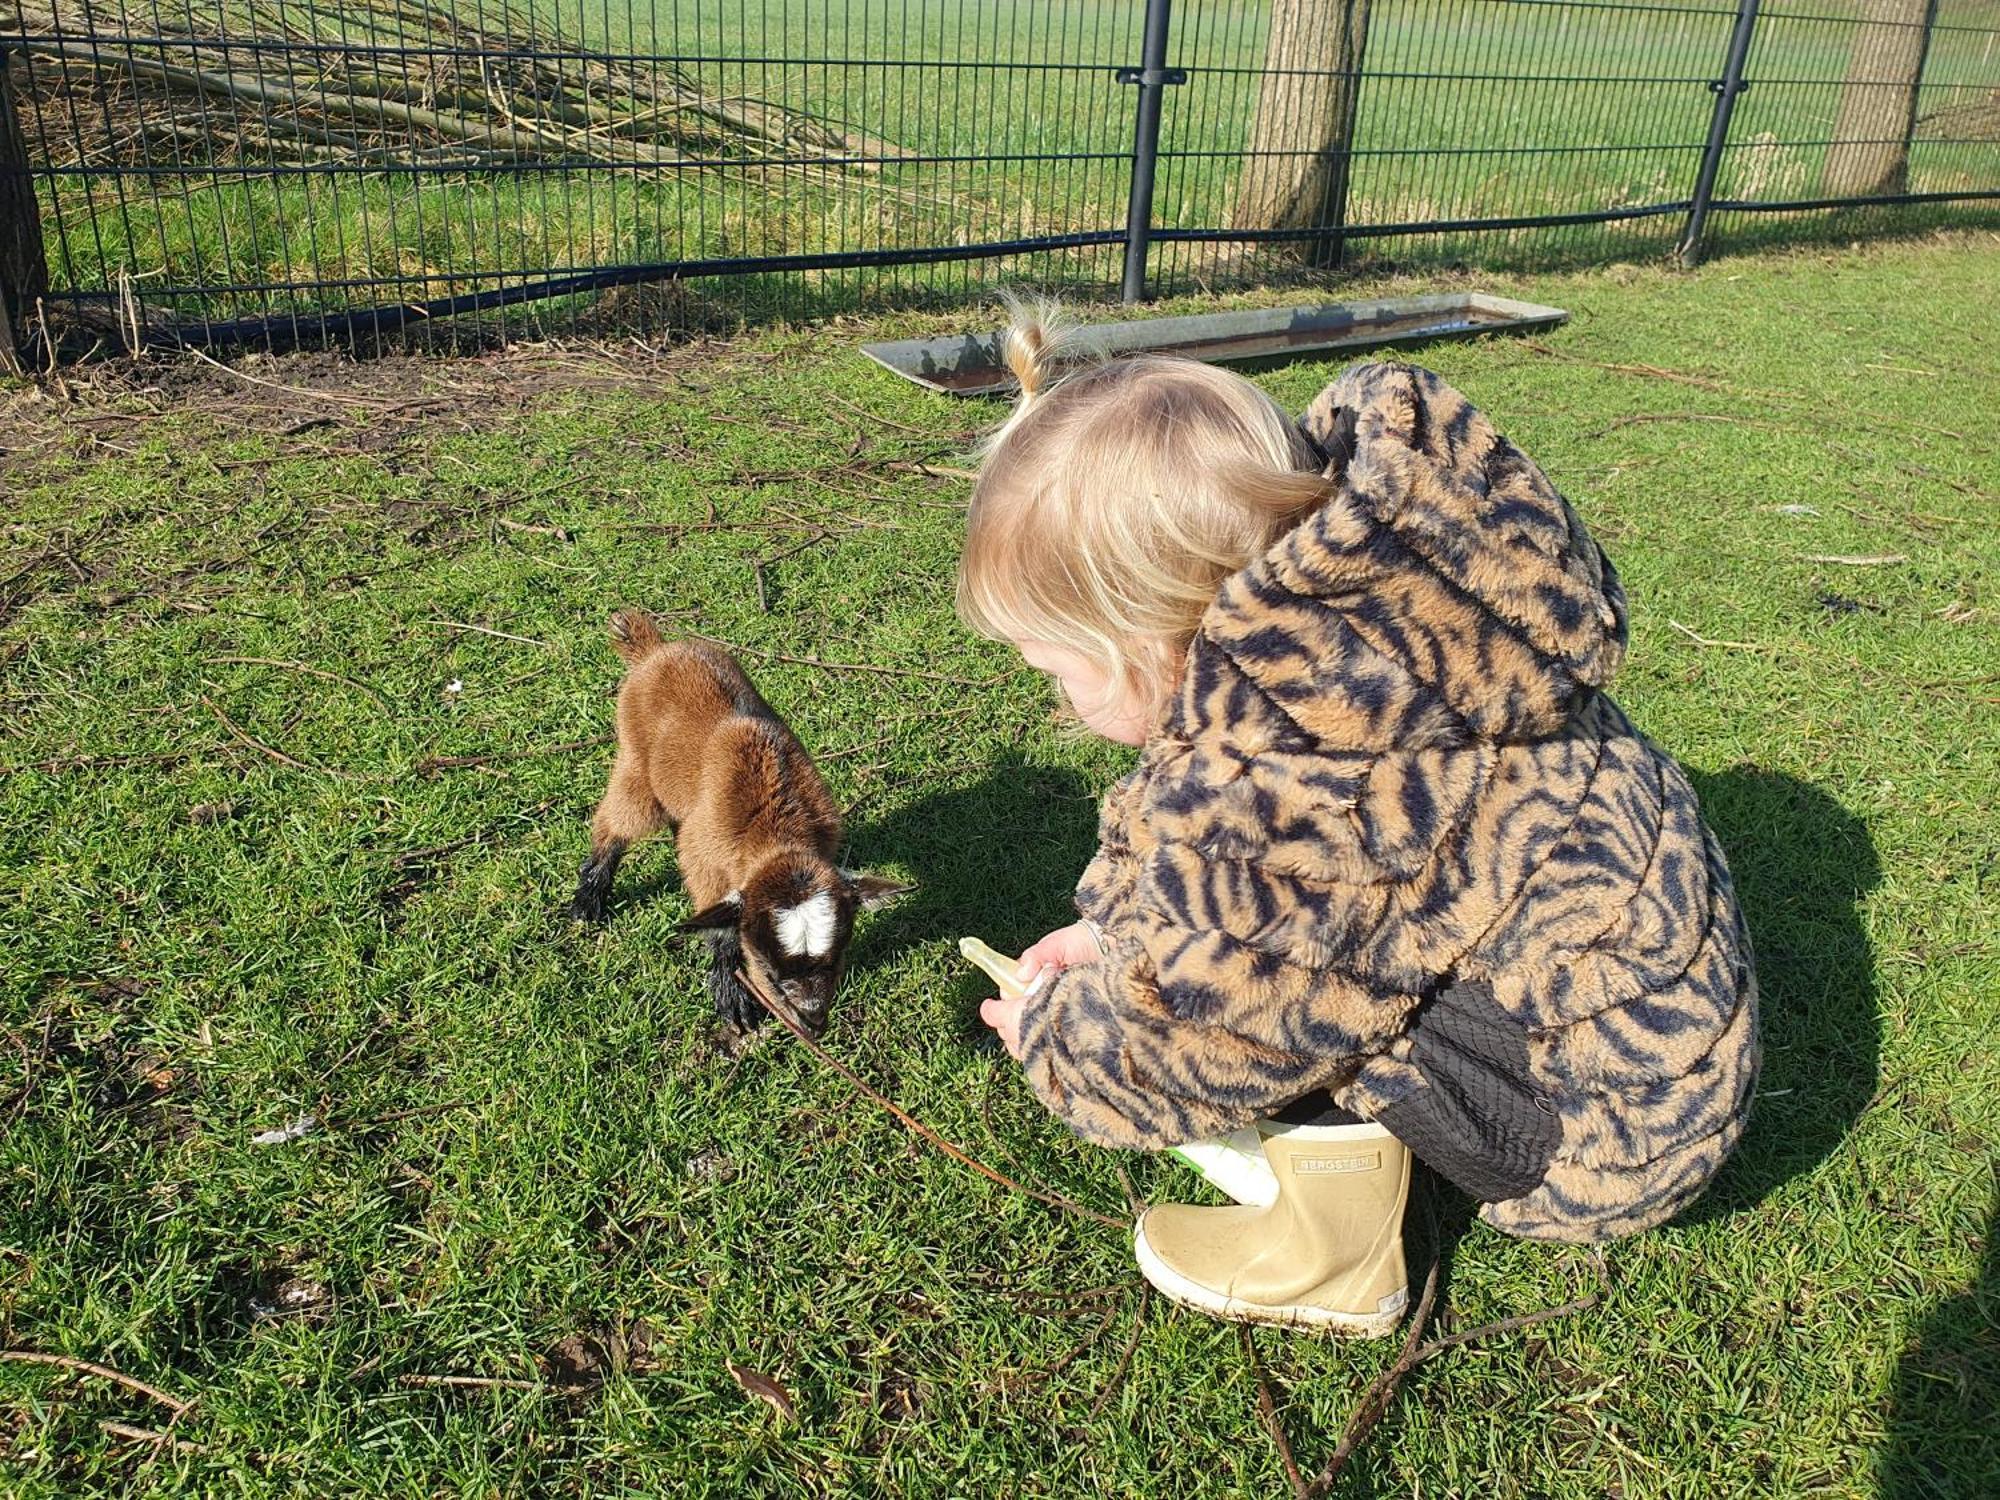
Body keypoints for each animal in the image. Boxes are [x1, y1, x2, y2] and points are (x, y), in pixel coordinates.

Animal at [568, 616, 904, 1040]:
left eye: (835, 960)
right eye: (770, 974)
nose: (812, 1024)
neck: (771, 825)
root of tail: (654, 649)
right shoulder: (707, 861)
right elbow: (719, 926)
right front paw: (731, 997)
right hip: (635, 758)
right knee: (619, 820)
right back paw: (588, 897)